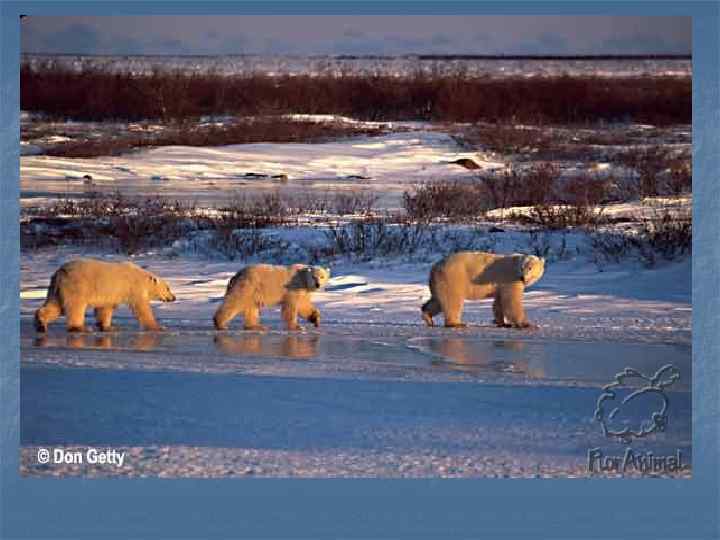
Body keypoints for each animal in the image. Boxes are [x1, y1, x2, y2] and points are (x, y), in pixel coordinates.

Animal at [34, 258, 178, 334]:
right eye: (168, 288)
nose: (174, 297)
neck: (142, 278)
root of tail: (60, 272)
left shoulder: (110, 293)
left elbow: (105, 308)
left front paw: (108, 327)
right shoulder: (134, 289)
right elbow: (142, 308)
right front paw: (159, 327)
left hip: (57, 289)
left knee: (55, 306)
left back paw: (41, 324)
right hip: (77, 286)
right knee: (75, 306)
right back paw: (80, 327)